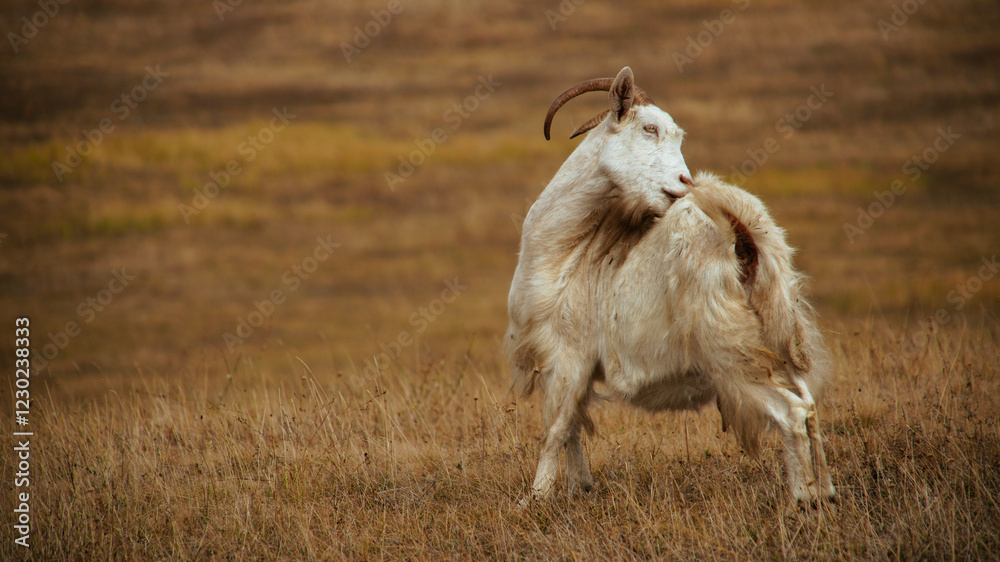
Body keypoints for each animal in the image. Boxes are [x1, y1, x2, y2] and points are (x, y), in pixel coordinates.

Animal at [506, 67, 835, 505]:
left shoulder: (567, 355)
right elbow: (573, 426)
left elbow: (555, 429)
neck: (571, 251)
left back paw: (802, 499)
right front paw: (581, 488)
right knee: (809, 405)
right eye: (649, 128)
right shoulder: (572, 367)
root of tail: (743, 234)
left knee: (791, 412)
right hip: (778, 338)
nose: (683, 182)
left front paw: (535, 499)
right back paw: (827, 493)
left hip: (733, 353)